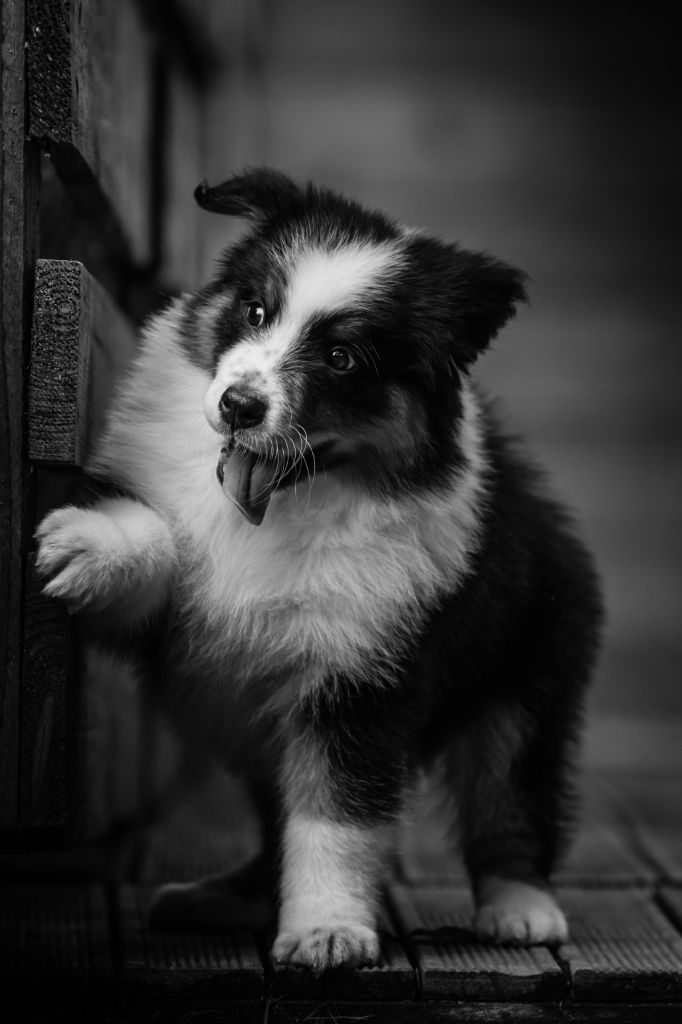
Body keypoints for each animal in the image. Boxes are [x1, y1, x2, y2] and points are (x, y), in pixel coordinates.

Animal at [35, 172, 602, 970]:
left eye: (342, 359)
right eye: (256, 311)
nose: (238, 406)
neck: (284, 503)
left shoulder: (357, 678)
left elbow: (335, 817)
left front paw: (329, 931)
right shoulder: (175, 620)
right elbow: (157, 541)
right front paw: (88, 546)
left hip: (528, 672)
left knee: (511, 794)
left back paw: (521, 908)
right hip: (237, 714)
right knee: (276, 812)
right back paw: (227, 897)